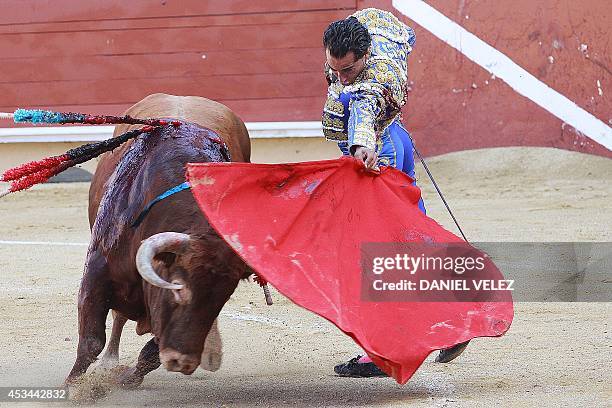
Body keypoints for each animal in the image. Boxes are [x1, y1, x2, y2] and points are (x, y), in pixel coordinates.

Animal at [68, 94, 253, 388]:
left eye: (221, 300)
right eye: (177, 290)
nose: (183, 361)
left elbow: (150, 355)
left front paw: (127, 380)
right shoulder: (96, 273)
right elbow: (91, 341)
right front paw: (73, 388)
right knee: (117, 319)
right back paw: (109, 361)